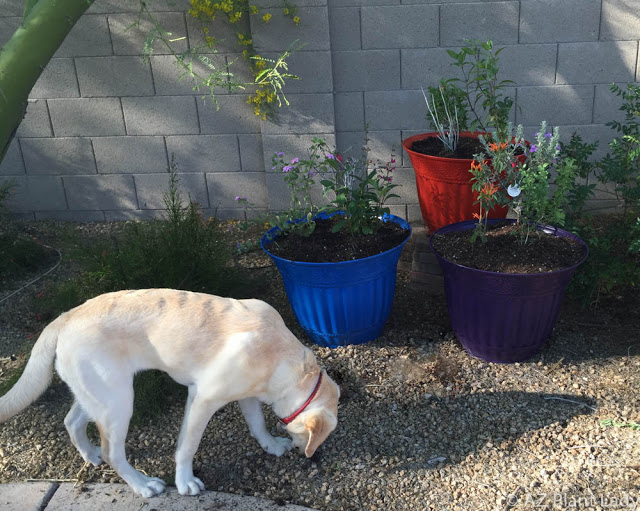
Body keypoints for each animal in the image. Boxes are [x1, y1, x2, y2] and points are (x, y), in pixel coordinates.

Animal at [0, 290, 340, 498]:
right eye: (315, 438)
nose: (314, 456)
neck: (284, 359)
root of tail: (65, 317)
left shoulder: (247, 394)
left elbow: (257, 425)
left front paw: (271, 446)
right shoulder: (202, 399)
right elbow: (187, 447)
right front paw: (185, 483)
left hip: (101, 395)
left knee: (72, 422)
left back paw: (90, 454)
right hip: (118, 401)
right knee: (113, 452)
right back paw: (142, 485)